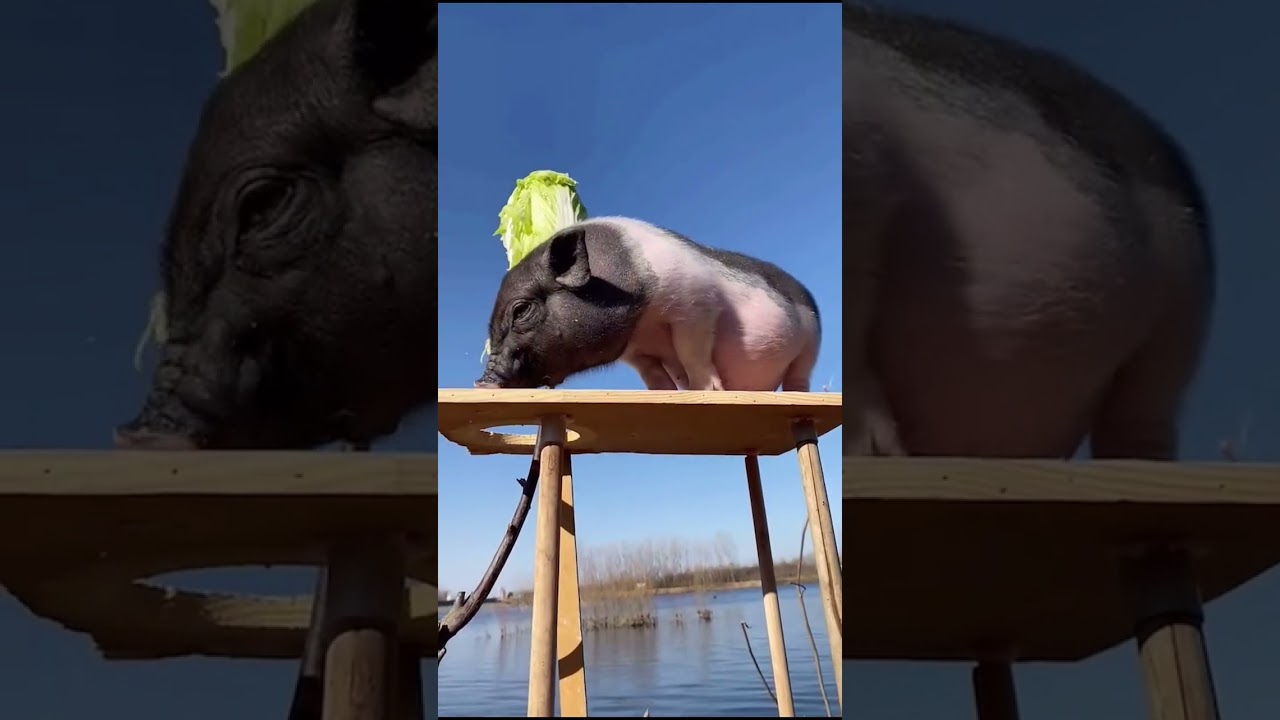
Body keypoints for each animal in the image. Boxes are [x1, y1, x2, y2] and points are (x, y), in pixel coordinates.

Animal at [476, 217, 821, 393]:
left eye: (521, 310)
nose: (481, 382)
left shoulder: (696, 308)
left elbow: (692, 353)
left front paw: (705, 391)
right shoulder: (635, 351)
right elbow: (653, 374)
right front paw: (665, 393)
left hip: (810, 348)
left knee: (799, 379)